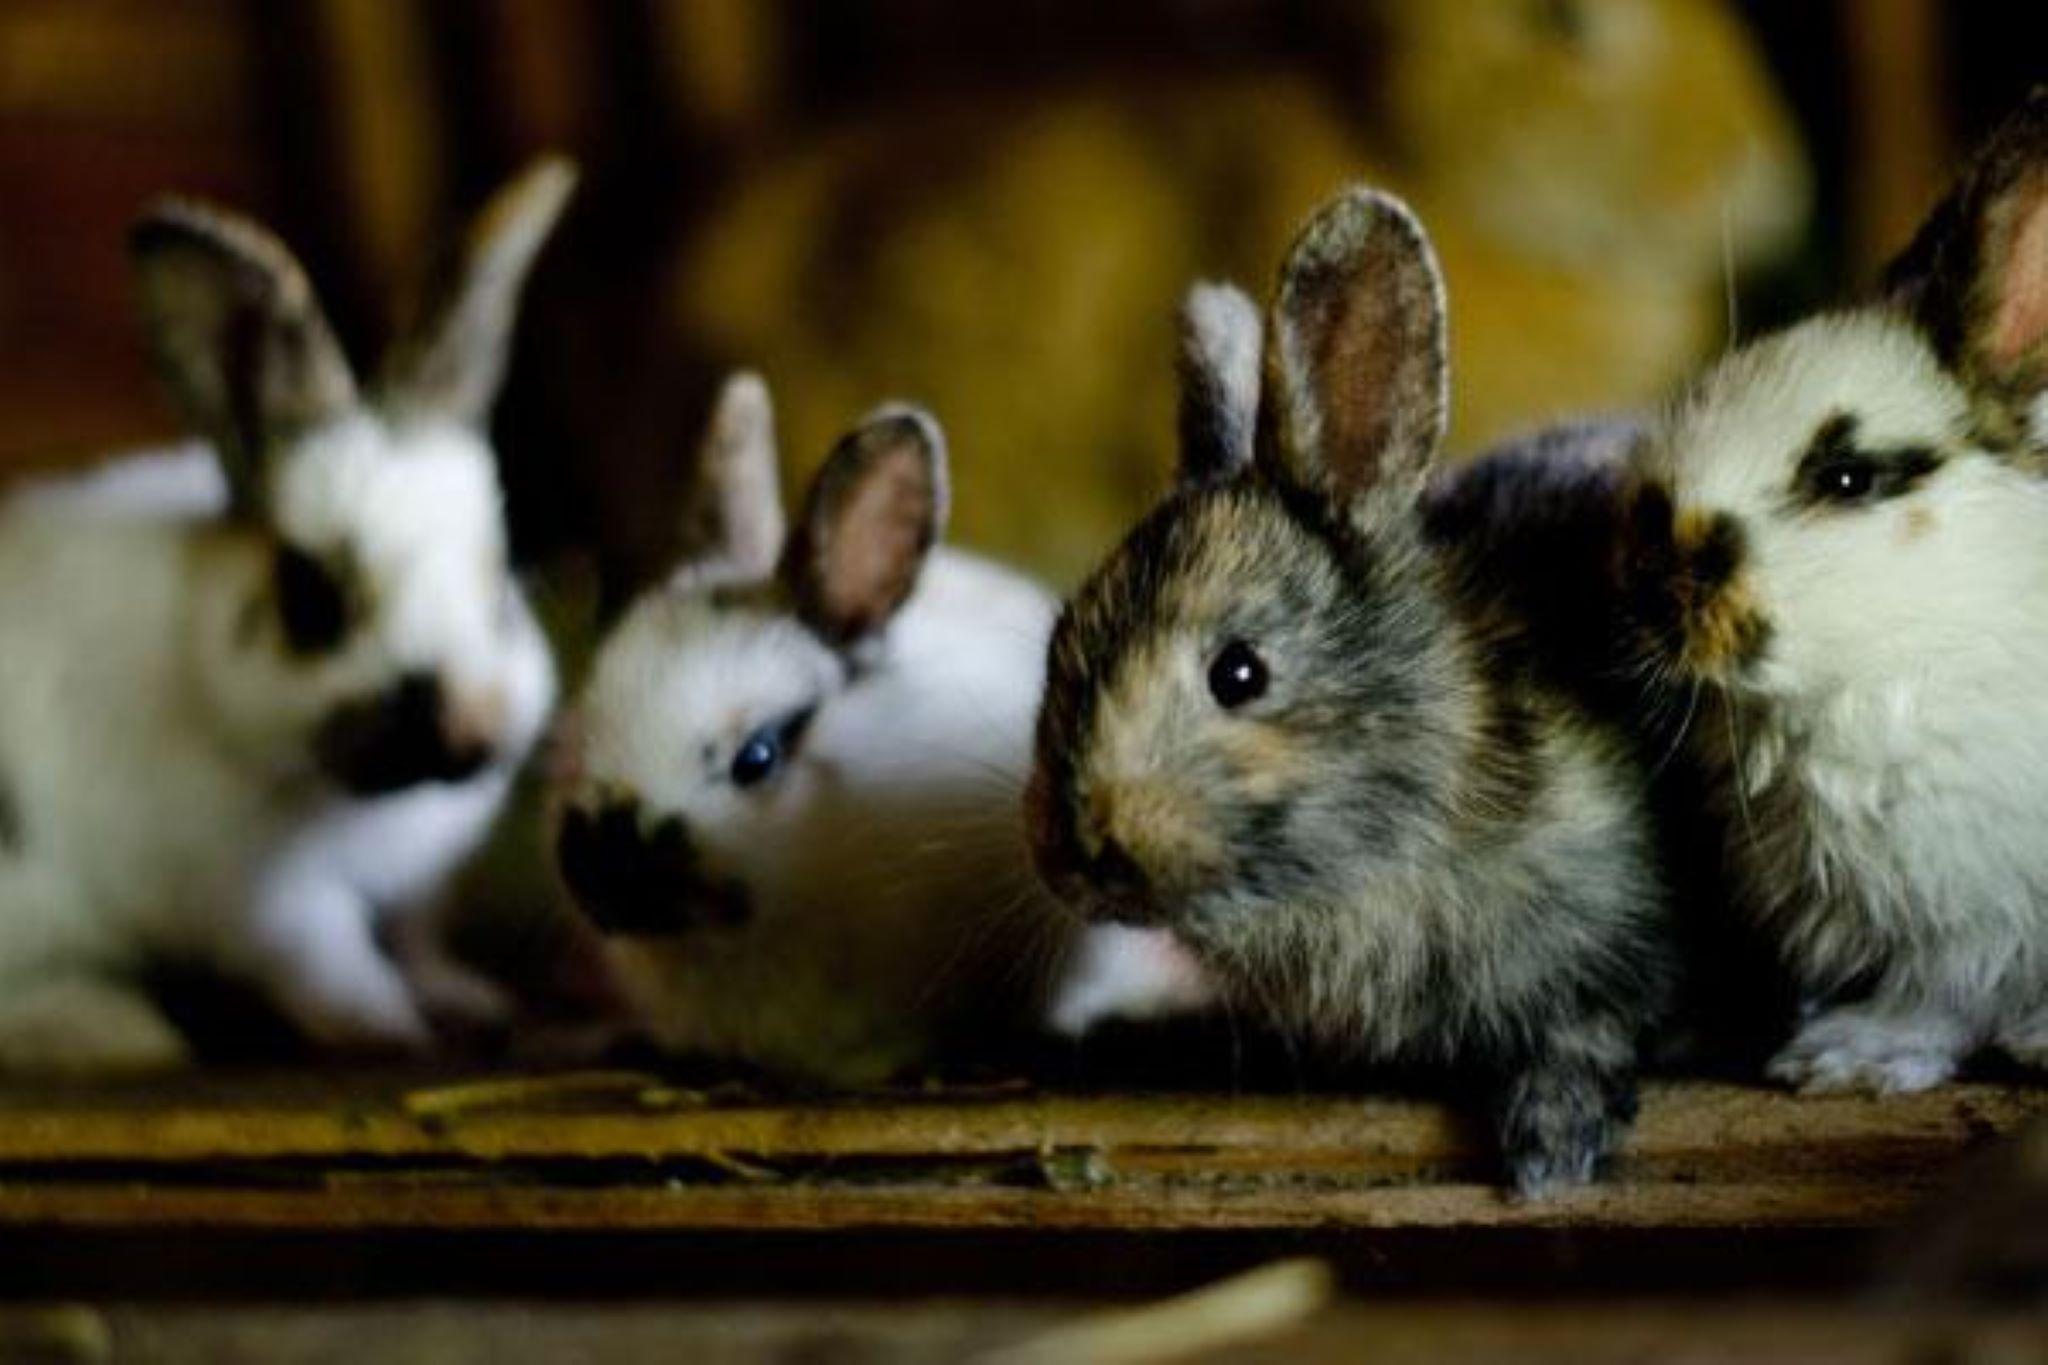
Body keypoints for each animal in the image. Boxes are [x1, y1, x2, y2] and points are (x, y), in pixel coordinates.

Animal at [0, 158, 574, 1073]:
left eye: (500, 573)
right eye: (313, 600)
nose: (475, 727)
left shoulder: (407, 899)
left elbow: (412, 941)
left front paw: (466, 998)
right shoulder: (268, 902)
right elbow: (335, 965)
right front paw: (394, 1034)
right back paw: (119, 1029)